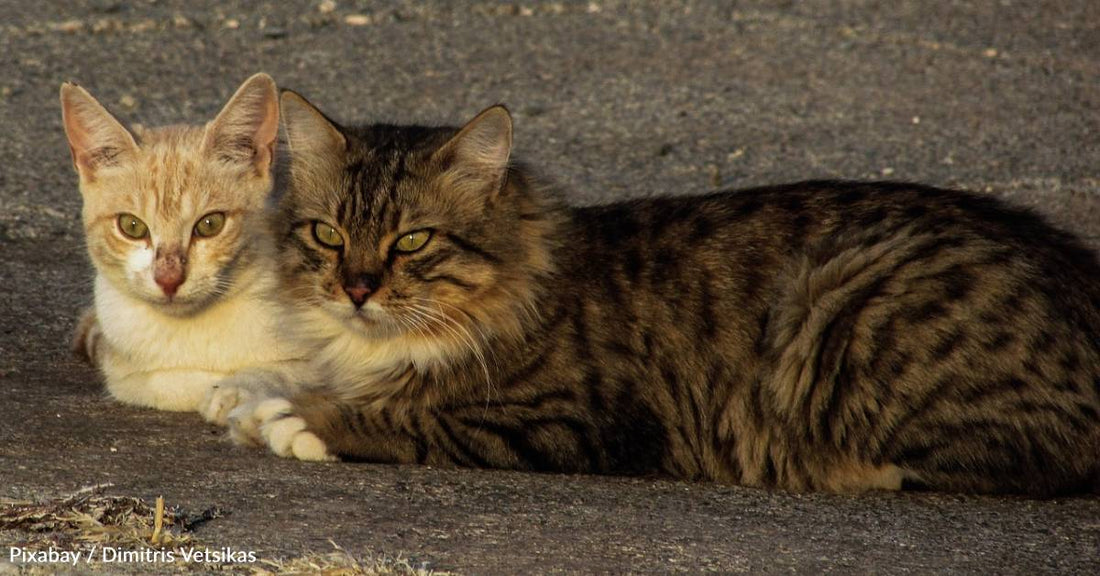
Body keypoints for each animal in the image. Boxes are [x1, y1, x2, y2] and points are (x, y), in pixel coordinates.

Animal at [60, 74, 310, 419]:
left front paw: (237, 391)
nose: (169, 279)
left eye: (210, 224)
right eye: (132, 226)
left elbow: (290, 370)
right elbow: (150, 383)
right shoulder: (126, 365)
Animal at [229, 92, 1100, 496]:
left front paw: (294, 420)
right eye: (328, 236)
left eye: (412, 241)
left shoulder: (566, 421)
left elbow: (401, 417)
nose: (356, 288)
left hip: (841, 308)